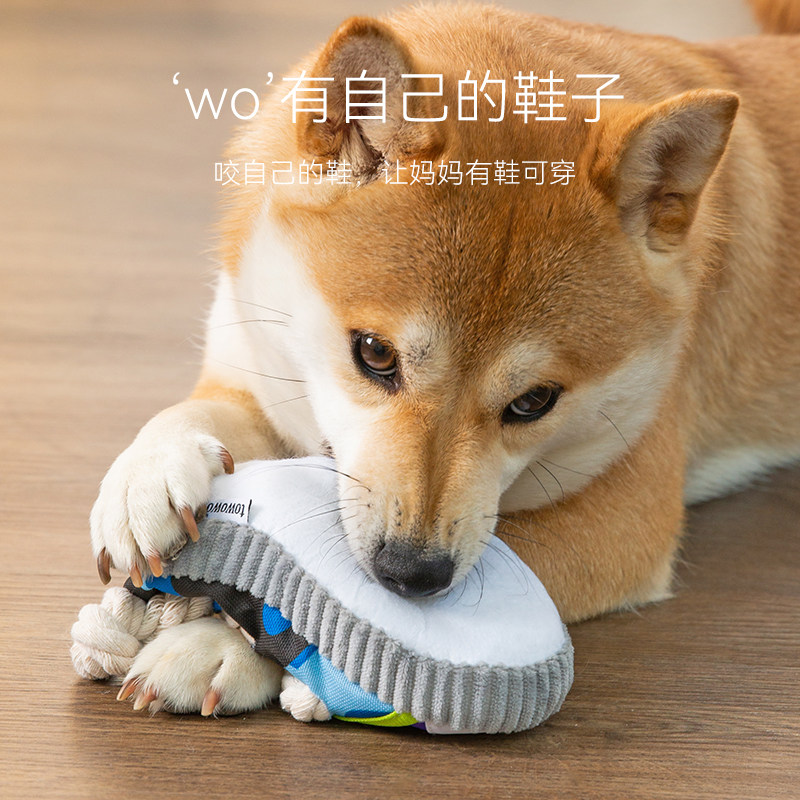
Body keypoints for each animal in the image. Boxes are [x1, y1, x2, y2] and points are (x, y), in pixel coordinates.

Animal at [91, 1, 800, 718]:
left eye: (534, 401)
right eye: (375, 354)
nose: (412, 573)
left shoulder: (626, 517)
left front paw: (223, 645)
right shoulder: (255, 370)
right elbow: (188, 414)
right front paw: (146, 479)